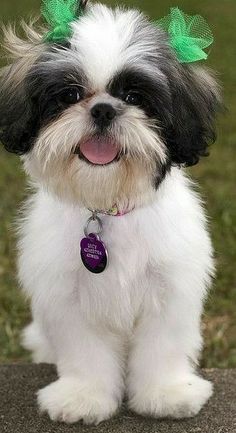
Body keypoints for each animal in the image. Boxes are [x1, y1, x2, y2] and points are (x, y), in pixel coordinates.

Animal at [0, 0, 221, 426]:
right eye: (70, 94)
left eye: (134, 97)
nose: (103, 109)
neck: (108, 204)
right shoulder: (68, 295)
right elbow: (85, 352)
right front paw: (83, 397)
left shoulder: (169, 288)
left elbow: (163, 346)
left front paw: (166, 393)